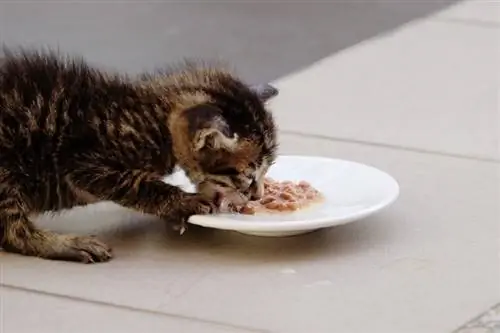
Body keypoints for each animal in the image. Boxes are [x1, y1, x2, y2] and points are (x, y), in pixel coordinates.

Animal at [0, 49, 278, 262]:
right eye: (249, 177)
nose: (257, 195)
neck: (155, 114)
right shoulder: (84, 161)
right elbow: (138, 184)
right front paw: (182, 202)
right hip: (6, 172)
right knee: (12, 233)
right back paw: (68, 244)